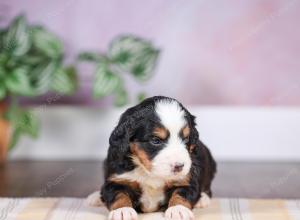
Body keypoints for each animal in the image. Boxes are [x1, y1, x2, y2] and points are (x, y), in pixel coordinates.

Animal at [86, 96, 216, 220]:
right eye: (155, 140)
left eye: (186, 139)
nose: (179, 166)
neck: (149, 173)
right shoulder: (116, 179)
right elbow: (118, 195)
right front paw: (122, 211)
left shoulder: (186, 179)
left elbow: (182, 193)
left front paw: (178, 210)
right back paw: (95, 197)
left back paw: (203, 199)